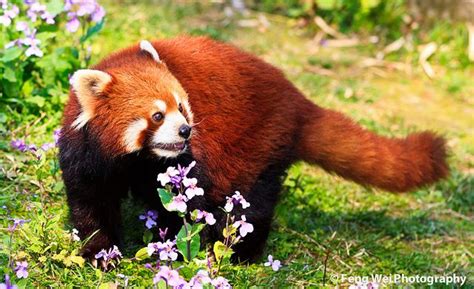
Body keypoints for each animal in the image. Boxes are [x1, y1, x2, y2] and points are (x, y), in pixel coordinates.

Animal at [58, 35, 448, 260]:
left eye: (182, 106)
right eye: (157, 115)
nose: (185, 130)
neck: (137, 161)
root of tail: (296, 99)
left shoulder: (185, 164)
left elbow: (186, 209)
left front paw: (175, 252)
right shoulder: (87, 158)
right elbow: (91, 204)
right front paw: (100, 253)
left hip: (260, 146)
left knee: (253, 203)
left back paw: (243, 254)